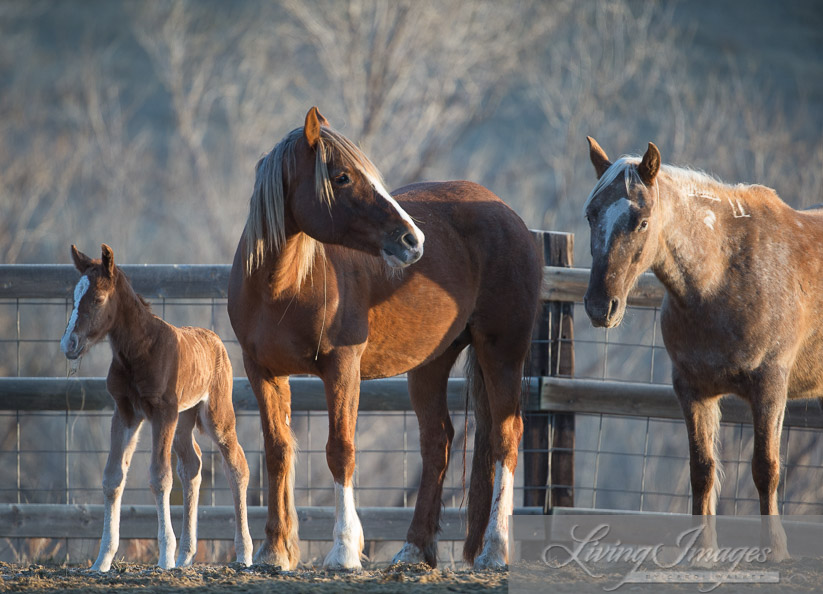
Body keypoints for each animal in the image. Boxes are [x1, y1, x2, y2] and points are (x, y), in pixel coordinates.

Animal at [60, 242, 253, 568]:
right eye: (73, 297)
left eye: (98, 299)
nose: (68, 344)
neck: (139, 351)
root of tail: (215, 339)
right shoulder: (125, 412)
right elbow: (113, 477)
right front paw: (101, 562)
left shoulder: (162, 412)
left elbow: (160, 477)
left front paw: (164, 558)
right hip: (183, 419)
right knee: (192, 466)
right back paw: (186, 557)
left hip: (214, 415)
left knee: (236, 465)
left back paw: (244, 554)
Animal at [229, 107, 544, 568]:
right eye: (342, 176)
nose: (413, 240)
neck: (284, 286)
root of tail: (508, 214)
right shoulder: (262, 372)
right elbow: (277, 451)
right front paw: (275, 550)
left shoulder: (342, 368)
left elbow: (340, 450)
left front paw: (344, 549)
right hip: (431, 363)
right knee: (438, 442)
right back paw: (414, 548)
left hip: (502, 352)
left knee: (506, 437)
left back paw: (494, 549)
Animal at [584, 136, 820, 556]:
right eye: (591, 216)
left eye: (642, 221)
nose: (600, 306)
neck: (723, 276)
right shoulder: (693, 390)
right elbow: (703, 470)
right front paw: (702, 551)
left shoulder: (770, 387)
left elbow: (766, 468)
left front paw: (774, 550)